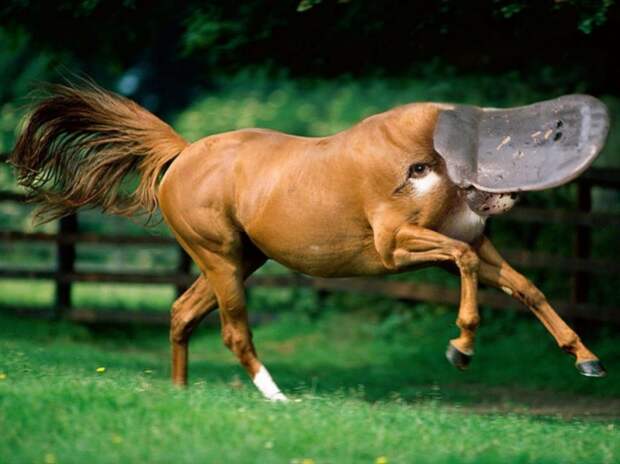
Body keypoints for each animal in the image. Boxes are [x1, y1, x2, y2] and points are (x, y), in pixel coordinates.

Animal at [10, 84, 604, 402]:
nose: (508, 196)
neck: (423, 160)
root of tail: (183, 153)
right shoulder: (397, 248)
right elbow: (461, 263)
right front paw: (461, 348)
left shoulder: (477, 246)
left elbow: (526, 287)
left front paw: (587, 360)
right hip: (220, 259)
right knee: (233, 331)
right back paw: (278, 397)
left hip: (240, 260)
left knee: (182, 314)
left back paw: (180, 395)